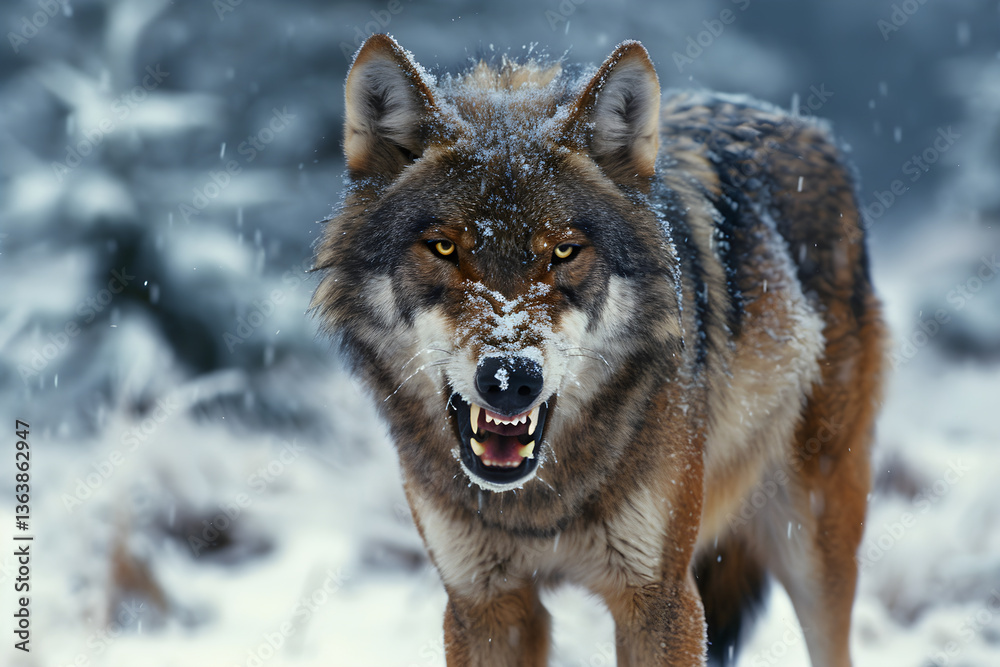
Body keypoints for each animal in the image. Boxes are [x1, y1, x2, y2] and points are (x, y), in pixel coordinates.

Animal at [312, 34, 886, 667]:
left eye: (564, 251)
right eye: (443, 248)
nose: (509, 378)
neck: (538, 509)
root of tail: (802, 122)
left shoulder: (661, 598)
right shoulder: (481, 604)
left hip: (816, 543)